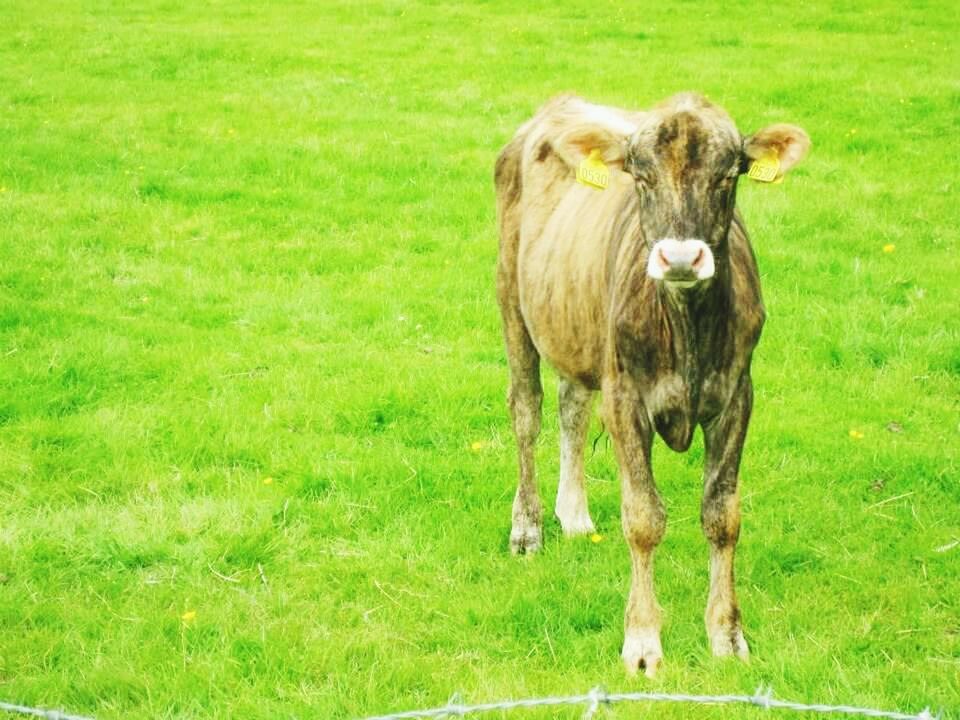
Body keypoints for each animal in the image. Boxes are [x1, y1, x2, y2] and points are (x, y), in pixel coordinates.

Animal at [496, 94, 808, 676]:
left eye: (728, 174)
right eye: (640, 176)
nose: (681, 257)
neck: (686, 328)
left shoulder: (737, 396)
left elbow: (722, 516)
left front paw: (727, 634)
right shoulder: (625, 398)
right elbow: (642, 518)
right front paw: (642, 642)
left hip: (578, 330)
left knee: (573, 406)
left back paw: (574, 515)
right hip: (511, 301)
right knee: (527, 411)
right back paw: (527, 528)